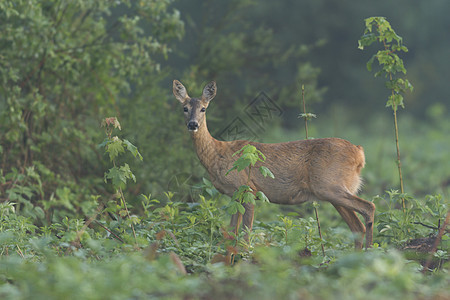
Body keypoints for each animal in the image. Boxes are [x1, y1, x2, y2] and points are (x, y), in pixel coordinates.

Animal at [173, 79, 376, 248]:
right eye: (184, 108)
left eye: (203, 109)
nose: (193, 124)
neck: (217, 154)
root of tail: (359, 153)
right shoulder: (235, 195)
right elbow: (230, 234)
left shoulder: (248, 188)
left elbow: (246, 235)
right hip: (334, 190)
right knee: (357, 227)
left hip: (329, 185)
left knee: (369, 207)